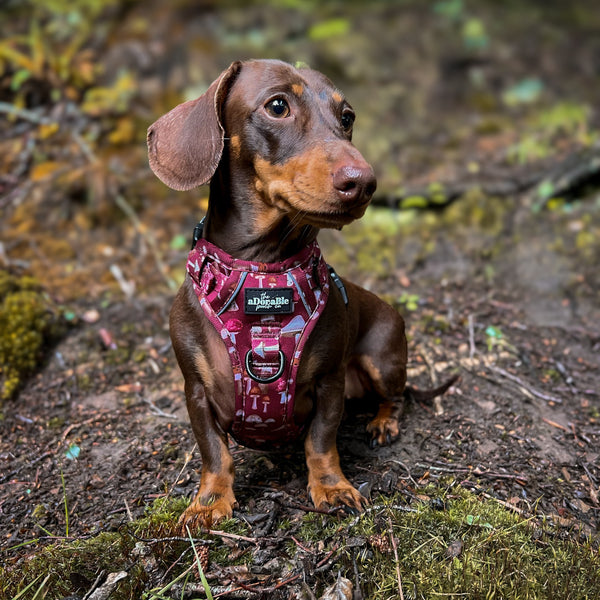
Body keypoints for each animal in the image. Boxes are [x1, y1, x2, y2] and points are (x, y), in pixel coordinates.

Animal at [148, 59, 458, 528]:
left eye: (347, 117)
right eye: (278, 106)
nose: (365, 183)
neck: (263, 272)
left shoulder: (329, 382)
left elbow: (321, 442)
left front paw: (332, 488)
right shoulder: (196, 390)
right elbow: (215, 453)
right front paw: (209, 503)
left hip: (383, 358)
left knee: (396, 396)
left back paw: (383, 423)